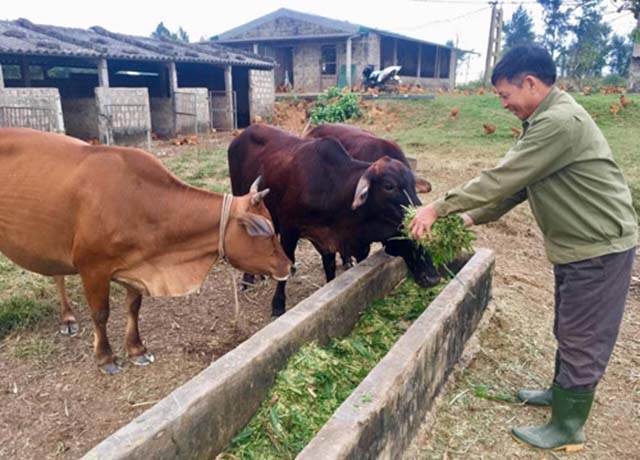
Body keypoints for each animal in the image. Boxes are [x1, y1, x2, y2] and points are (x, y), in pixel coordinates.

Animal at [0, 126, 290, 374]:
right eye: (264, 230)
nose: (287, 265)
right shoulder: (92, 268)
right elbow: (101, 314)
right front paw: (106, 358)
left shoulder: (137, 265)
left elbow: (133, 307)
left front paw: (137, 349)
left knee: (56, 273)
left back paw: (67, 319)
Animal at [226, 124, 440, 318]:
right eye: (389, 185)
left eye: (412, 184)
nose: (433, 277)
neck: (331, 187)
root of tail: (244, 133)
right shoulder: (289, 229)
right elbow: (287, 264)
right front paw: (278, 306)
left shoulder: (328, 239)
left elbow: (329, 270)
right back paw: (247, 279)